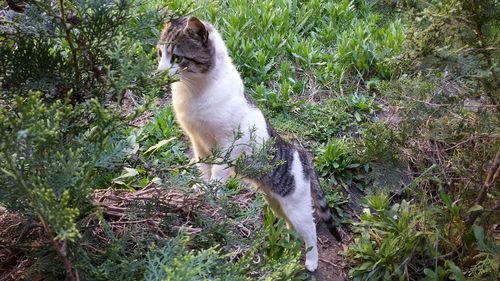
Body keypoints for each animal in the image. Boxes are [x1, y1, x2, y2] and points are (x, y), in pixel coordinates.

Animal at [158, 16, 342, 270]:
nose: (159, 72)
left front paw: (212, 190)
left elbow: (218, 171)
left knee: (311, 230)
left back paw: (311, 261)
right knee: (291, 225)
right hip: (276, 202)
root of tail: (302, 155)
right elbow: (203, 168)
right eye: (159, 54)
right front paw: (201, 188)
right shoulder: (198, 142)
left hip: (297, 207)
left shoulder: (229, 143)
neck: (195, 90)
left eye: (176, 57)